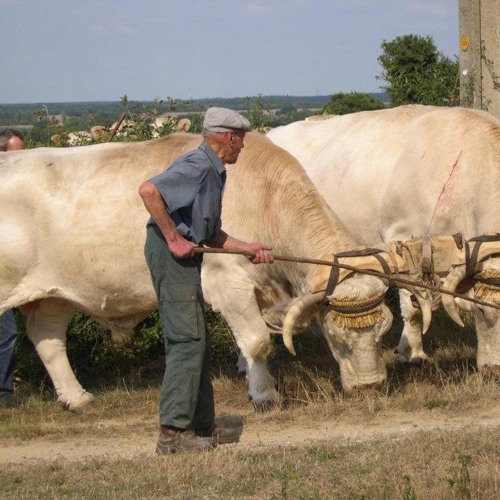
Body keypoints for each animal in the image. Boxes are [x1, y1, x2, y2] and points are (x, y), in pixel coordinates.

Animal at [0, 131, 398, 412]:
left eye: (383, 334)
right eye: (336, 337)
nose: (371, 388)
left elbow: (246, 341)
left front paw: (246, 372)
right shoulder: (227, 281)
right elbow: (257, 339)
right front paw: (264, 394)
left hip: (54, 295)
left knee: (48, 339)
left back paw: (78, 399)